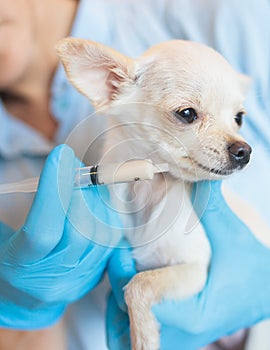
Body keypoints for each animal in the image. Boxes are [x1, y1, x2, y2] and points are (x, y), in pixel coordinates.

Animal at [56, 39, 254, 350]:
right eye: (187, 114)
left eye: (238, 118)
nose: (244, 151)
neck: (149, 190)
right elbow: (134, 284)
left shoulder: (196, 270)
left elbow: (139, 285)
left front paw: (143, 336)